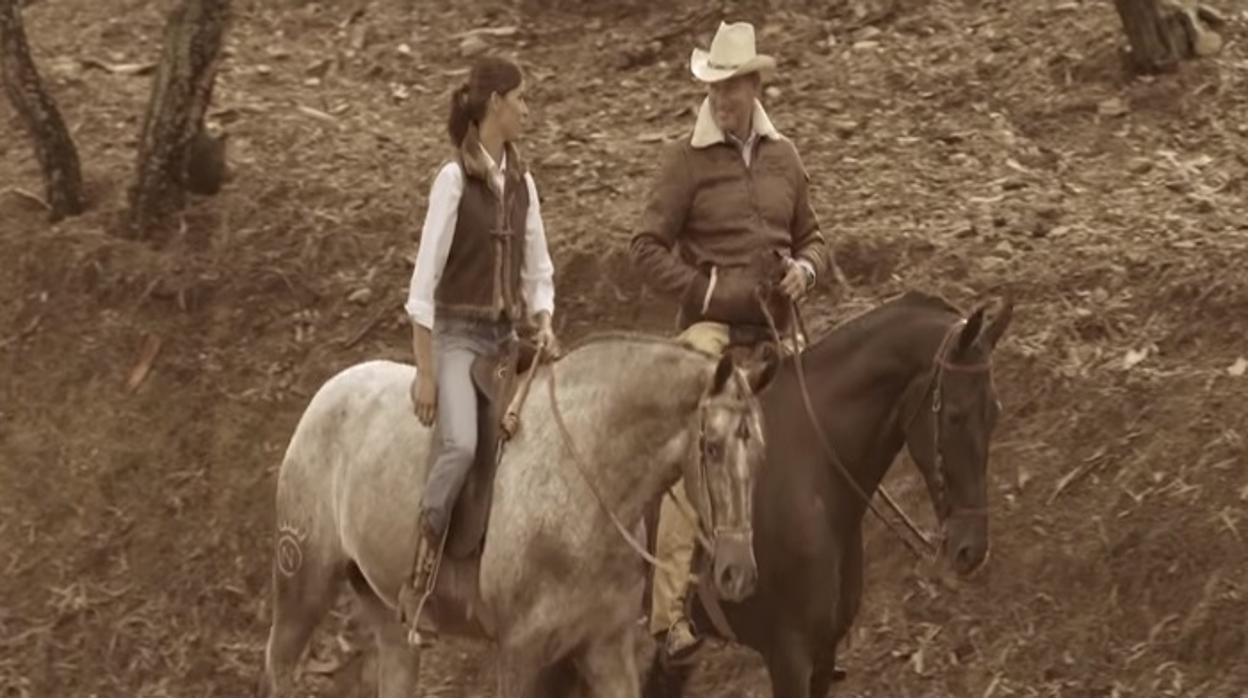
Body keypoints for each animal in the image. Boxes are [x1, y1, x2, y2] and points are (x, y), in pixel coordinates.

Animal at [257, 332, 773, 698]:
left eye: (760, 452)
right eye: (712, 446)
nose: (738, 573)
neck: (583, 475)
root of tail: (329, 392)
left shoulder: (606, 647)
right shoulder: (520, 654)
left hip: (389, 616)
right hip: (304, 585)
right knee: (278, 666)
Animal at [643, 292, 1013, 698]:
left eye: (995, 412)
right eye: (955, 416)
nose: (971, 550)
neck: (811, 476)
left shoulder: (825, 650)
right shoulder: (788, 656)